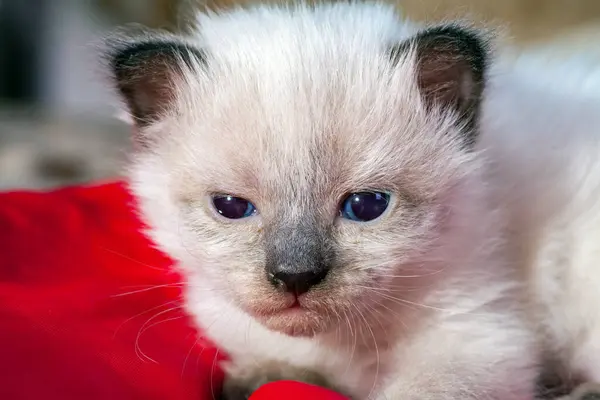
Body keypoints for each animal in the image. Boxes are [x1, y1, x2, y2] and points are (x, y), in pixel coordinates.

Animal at [104, 1, 600, 398]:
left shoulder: (478, 337)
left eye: (366, 206)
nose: (295, 277)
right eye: (231, 207)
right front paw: (258, 378)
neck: (340, 347)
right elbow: (280, 372)